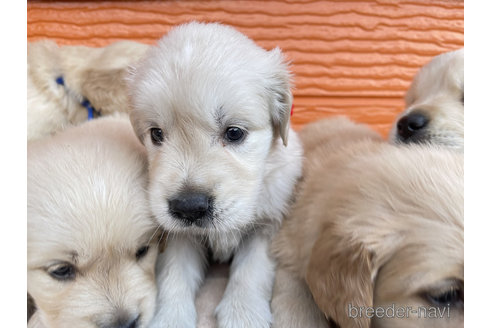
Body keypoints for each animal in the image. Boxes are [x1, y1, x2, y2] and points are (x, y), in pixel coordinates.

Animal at [126, 21, 304, 328]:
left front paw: (243, 314)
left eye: (234, 133)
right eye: (156, 134)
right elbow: (174, 273)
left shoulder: (267, 224)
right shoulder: (179, 235)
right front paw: (170, 318)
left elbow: (251, 269)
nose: (188, 207)